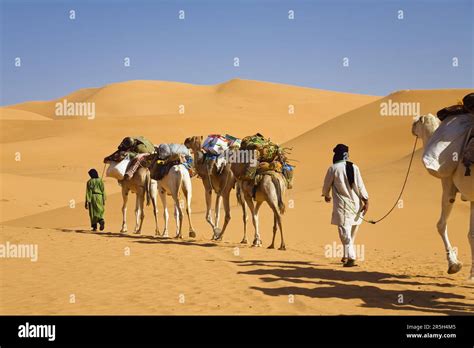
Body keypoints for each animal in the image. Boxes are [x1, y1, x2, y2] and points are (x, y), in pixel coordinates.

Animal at [412, 115, 474, 280]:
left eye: (418, 121)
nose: (412, 125)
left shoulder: (448, 185)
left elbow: (441, 225)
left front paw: (454, 265)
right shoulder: (472, 198)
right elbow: (471, 234)